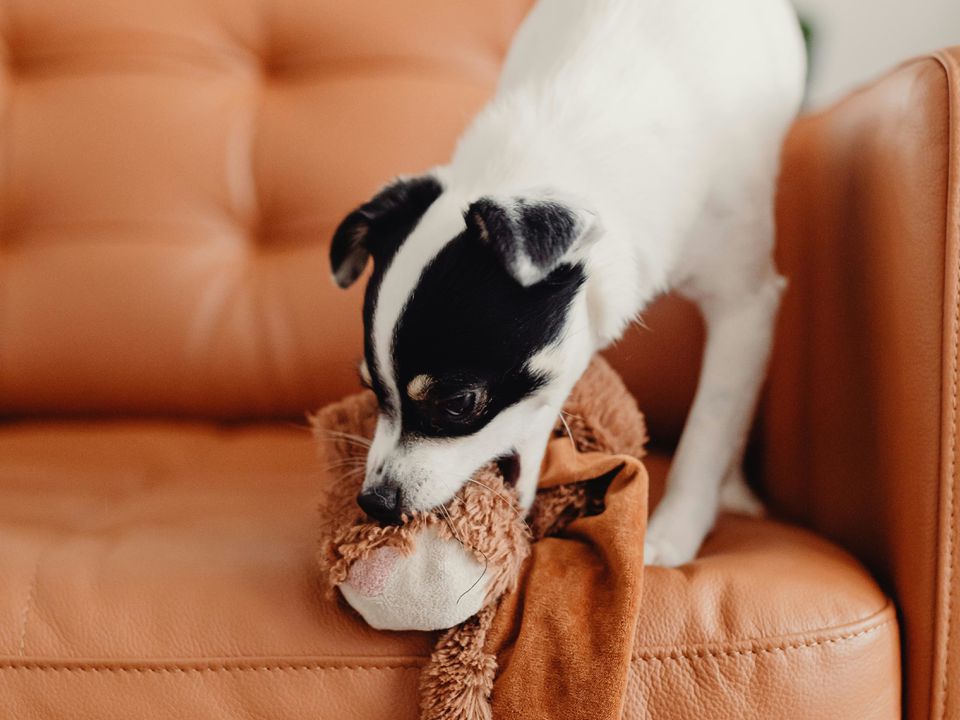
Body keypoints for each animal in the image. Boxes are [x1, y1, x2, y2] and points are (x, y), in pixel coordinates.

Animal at [328, 0, 804, 568]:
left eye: (459, 403)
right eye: (368, 388)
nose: (375, 502)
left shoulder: (745, 304)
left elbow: (711, 424)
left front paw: (672, 533)